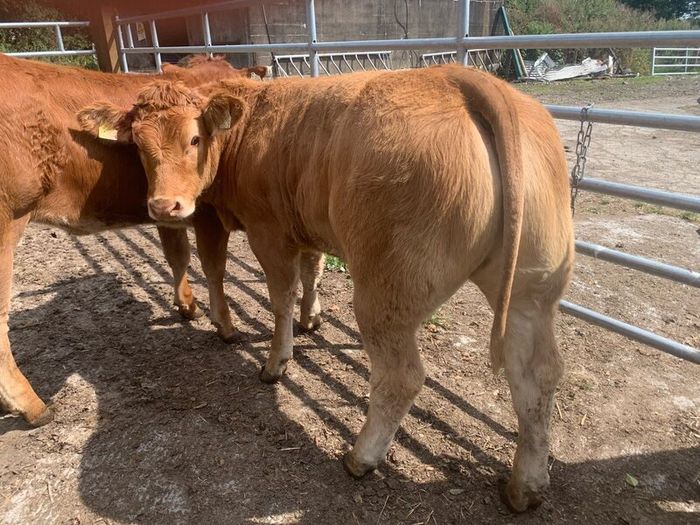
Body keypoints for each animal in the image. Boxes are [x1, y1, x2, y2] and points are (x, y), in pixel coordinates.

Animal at [0, 54, 319, 429]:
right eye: (138, 145)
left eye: (195, 140)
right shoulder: (206, 213)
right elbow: (213, 267)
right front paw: (225, 326)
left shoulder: (169, 209)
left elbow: (177, 256)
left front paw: (187, 306)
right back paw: (32, 406)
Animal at [79, 65, 574, 512]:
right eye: (138, 146)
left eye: (194, 139)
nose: (164, 206)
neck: (247, 128)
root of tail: (463, 77)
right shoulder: (306, 229)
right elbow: (312, 272)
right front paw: (311, 320)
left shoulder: (267, 230)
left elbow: (275, 293)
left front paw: (274, 359)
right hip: (532, 290)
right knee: (536, 373)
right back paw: (525, 486)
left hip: (385, 291)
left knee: (401, 376)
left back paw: (361, 457)